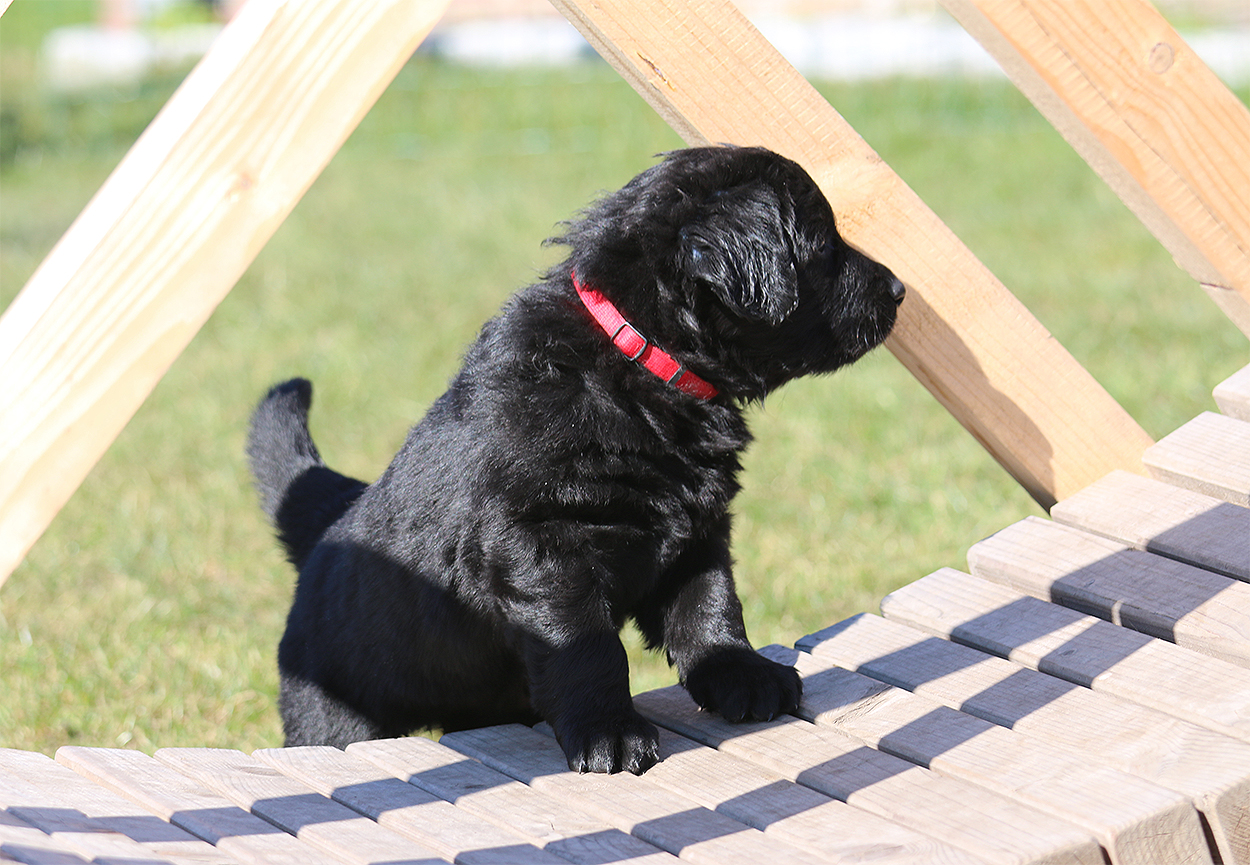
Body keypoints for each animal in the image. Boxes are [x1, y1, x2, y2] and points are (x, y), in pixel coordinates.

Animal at [247, 145, 904, 774]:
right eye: (824, 243)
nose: (899, 290)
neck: (639, 358)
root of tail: (329, 528)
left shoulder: (698, 525)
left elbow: (710, 601)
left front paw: (742, 674)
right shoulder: (542, 542)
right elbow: (587, 646)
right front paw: (610, 734)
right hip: (335, 709)